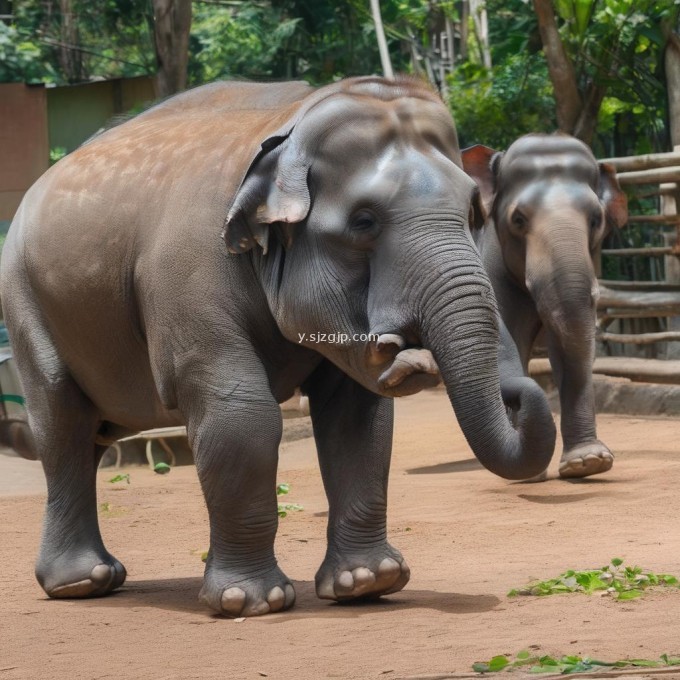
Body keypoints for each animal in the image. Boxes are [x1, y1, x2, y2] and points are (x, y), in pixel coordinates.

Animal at [0, 77, 552, 620]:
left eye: (472, 212)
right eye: (364, 221)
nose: (520, 392)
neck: (292, 122)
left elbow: (357, 419)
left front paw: (367, 583)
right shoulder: (188, 276)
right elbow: (242, 415)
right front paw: (249, 602)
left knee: (93, 436)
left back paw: (97, 576)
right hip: (24, 300)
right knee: (62, 425)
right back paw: (82, 583)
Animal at [462, 133, 628, 480]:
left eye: (596, 219)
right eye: (518, 219)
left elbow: (569, 345)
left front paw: (588, 462)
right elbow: (512, 337)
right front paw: (532, 472)